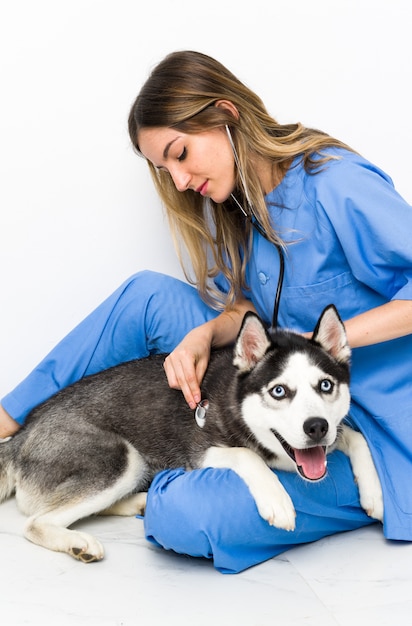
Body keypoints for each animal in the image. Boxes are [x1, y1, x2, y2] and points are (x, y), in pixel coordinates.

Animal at [0, 304, 384, 560]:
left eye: (325, 385)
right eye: (279, 391)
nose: (316, 427)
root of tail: (23, 433)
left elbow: (355, 437)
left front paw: (375, 494)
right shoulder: (201, 450)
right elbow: (247, 456)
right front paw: (277, 501)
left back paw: (140, 501)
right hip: (121, 458)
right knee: (35, 522)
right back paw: (78, 541)